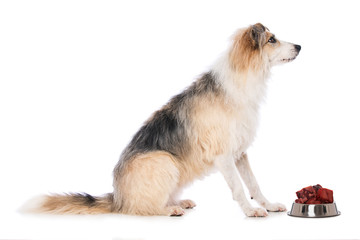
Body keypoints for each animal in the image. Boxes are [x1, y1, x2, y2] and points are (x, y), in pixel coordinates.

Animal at [23, 23, 300, 218]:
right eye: (272, 39)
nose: (299, 46)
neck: (243, 77)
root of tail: (118, 198)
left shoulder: (239, 153)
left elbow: (253, 184)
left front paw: (268, 204)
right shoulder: (224, 156)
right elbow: (240, 188)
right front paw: (251, 211)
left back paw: (178, 202)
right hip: (164, 160)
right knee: (141, 208)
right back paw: (169, 209)